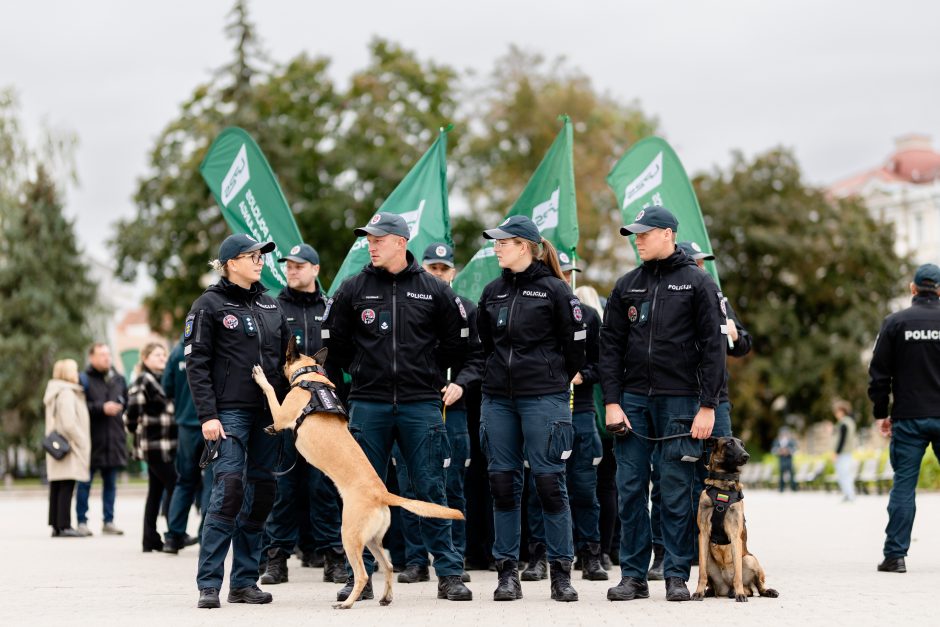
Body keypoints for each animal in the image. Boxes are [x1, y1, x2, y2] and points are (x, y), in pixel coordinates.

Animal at [252, 344, 464, 608]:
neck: (310, 377)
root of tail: (383, 493)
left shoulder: (282, 415)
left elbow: (271, 394)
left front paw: (261, 377)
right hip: (371, 540)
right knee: (387, 565)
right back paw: (385, 597)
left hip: (349, 536)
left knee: (363, 574)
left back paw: (347, 603)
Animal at [692, 436, 780, 604]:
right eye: (729, 443)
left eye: (742, 445)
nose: (746, 456)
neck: (723, 487)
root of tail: (726, 588)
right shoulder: (703, 534)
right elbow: (701, 573)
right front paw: (698, 592)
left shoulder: (735, 536)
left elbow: (738, 574)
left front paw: (740, 594)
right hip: (708, 559)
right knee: (714, 584)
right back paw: (710, 591)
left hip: (750, 559)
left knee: (757, 587)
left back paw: (758, 591)